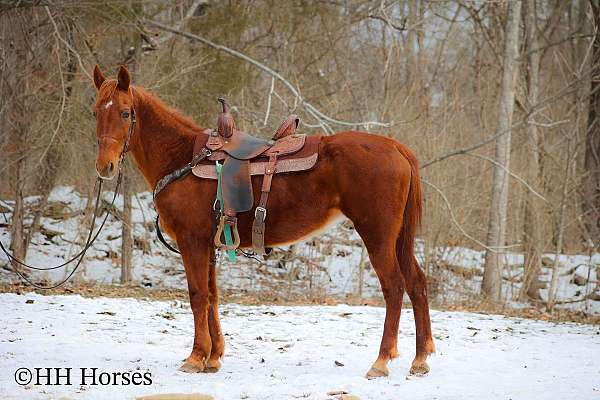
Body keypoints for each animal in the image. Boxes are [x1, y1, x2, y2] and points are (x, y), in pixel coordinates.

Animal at [91, 65, 434, 378]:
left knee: (394, 287)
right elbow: (212, 297)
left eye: (125, 113)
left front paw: (196, 357)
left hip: (377, 236)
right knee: (416, 283)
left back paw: (381, 360)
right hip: (399, 239)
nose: (105, 166)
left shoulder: (192, 242)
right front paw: (213, 357)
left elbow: (197, 295)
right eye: (95, 112)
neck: (182, 159)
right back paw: (420, 359)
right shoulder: (209, 245)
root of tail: (396, 148)